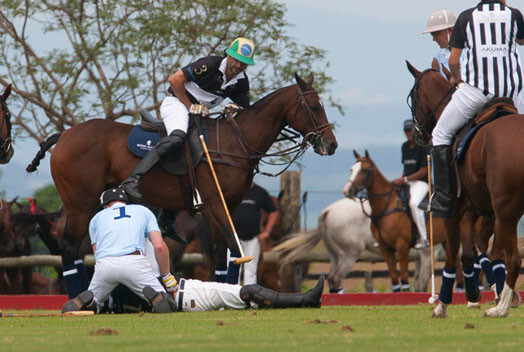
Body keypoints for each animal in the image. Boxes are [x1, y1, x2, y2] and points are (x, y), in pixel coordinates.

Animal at [26, 74, 338, 296]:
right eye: (313, 107)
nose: (331, 145)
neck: (236, 142)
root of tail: (64, 134)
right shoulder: (214, 204)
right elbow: (234, 252)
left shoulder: (228, 205)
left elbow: (222, 259)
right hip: (80, 204)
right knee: (69, 250)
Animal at [344, 150, 450, 292]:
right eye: (351, 169)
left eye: (365, 170)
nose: (347, 190)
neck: (385, 207)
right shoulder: (385, 248)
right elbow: (394, 278)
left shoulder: (402, 246)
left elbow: (404, 278)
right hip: (446, 240)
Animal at [408, 62, 524, 318]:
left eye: (412, 97)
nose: (417, 134)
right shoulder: (477, 207)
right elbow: (474, 251)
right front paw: (475, 291)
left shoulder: (455, 207)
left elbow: (455, 253)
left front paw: (442, 304)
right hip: (502, 211)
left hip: (505, 211)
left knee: (513, 257)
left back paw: (501, 307)